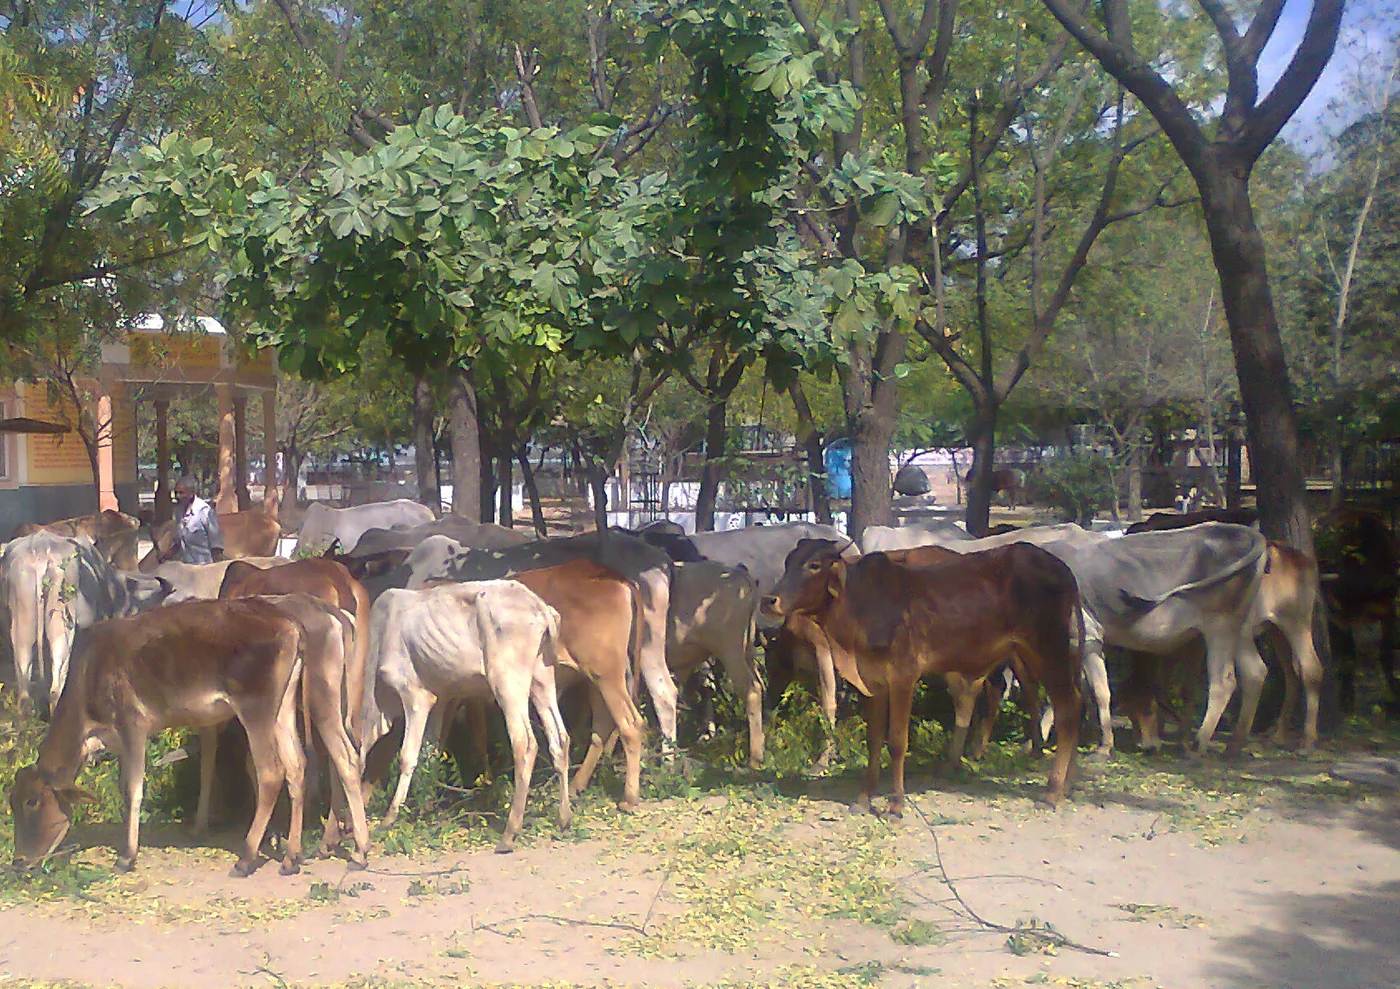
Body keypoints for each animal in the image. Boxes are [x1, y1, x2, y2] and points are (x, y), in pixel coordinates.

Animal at [7, 599, 307, 876]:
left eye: (32, 802)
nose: (19, 861)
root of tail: (288, 622)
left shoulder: (132, 724)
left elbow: (132, 789)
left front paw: (127, 856)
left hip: (255, 709)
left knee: (270, 772)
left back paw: (246, 858)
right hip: (283, 708)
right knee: (297, 765)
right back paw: (291, 858)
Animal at [359, 580, 573, 851]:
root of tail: (540, 607)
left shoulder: (415, 695)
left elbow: (407, 756)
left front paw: (390, 818)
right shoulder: (440, 698)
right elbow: (429, 753)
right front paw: (423, 808)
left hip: (506, 681)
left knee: (525, 744)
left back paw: (509, 832)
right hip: (542, 677)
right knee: (560, 739)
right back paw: (564, 819)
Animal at [763, 539, 1083, 812]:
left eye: (814, 565)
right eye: (788, 562)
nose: (769, 599)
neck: (861, 607)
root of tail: (1061, 567)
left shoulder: (903, 677)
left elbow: (897, 741)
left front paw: (895, 805)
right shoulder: (873, 682)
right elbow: (874, 739)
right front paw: (864, 799)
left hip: (1049, 650)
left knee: (1067, 710)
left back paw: (1052, 791)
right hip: (1031, 653)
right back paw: (1065, 784)